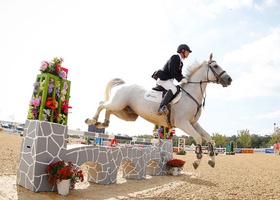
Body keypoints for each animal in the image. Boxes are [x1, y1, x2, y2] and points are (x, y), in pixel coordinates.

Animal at [85, 53, 232, 169]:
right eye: (216, 66)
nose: (229, 79)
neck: (191, 94)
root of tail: (124, 85)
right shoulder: (183, 123)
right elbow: (198, 138)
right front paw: (197, 161)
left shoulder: (193, 123)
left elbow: (209, 138)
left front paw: (212, 160)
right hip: (118, 104)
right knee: (102, 104)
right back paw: (92, 120)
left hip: (126, 113)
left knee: (108, 109)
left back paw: (103, 123)